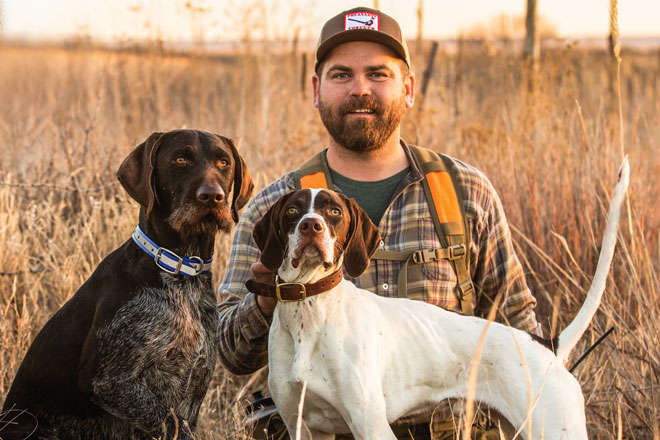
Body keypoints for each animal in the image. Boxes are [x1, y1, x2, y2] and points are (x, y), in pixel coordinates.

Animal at [1, 129, 254, 438]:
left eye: (223, 162)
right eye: (180, 159)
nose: (212, 196)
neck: (180, 272)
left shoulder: (195, 387)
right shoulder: (108, 380)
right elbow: (170, 422)